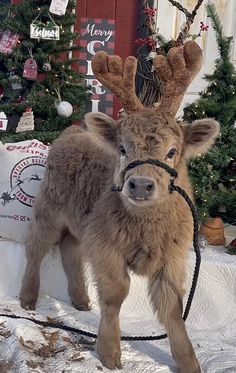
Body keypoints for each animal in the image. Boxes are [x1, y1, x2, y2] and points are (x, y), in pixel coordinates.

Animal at [20, 41, 219, 372]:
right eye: (123, 149)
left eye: (172, 151)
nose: (140, 185)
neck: (147, 225)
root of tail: (73, 132)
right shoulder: (106, 246)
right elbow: (116, 294)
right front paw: (110, 352)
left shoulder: (172, 257)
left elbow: (173, 307)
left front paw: (189, 361)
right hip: (48, 207)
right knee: (36, 248)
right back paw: (27, 298)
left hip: (80, 221)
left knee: (71, 249)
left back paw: (80, 300)